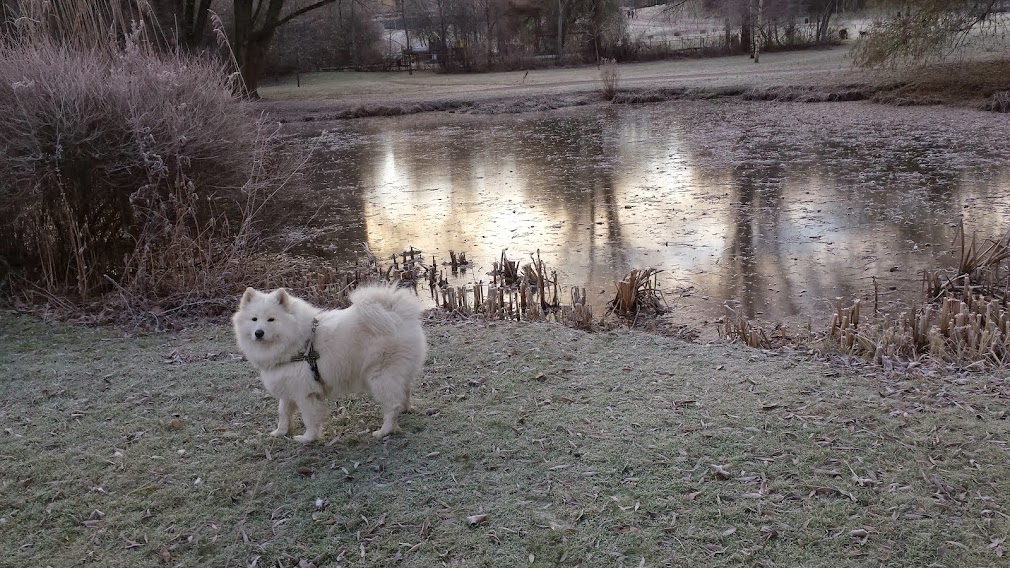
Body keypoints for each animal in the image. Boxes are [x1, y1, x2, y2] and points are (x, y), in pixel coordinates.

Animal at [232, 285, 426, 440]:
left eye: (271, 319)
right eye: (254, 319)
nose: (258, 332)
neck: (297, 342)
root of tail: (396, 313)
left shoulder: (305, 393)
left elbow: (309, 418)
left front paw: (307, 438)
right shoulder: (288, 388)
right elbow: (283, 413)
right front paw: (280, 432)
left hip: (380, 376)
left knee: (392, 405)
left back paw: (384, 431)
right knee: (404, 391)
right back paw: (406, 410)